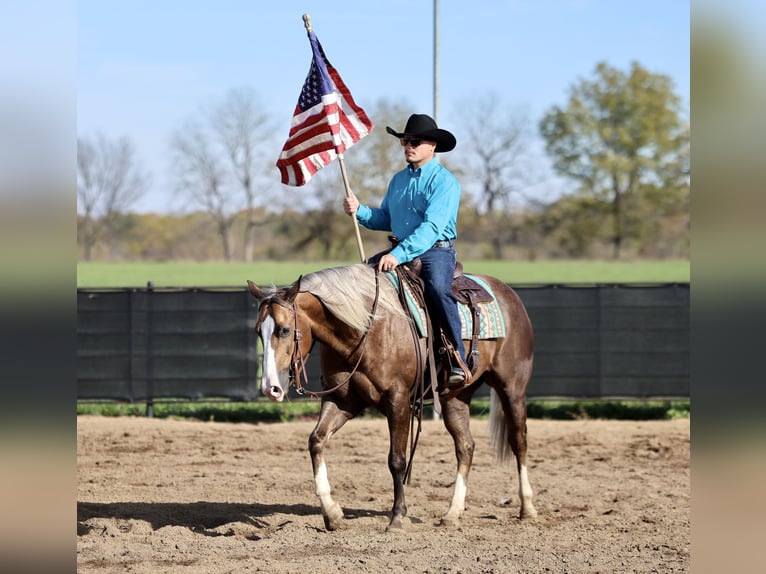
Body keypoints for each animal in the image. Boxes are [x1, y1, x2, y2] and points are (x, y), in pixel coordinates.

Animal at [247, 263, 537, 531]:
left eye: (284, 329)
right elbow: (316, 441)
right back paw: (453, 512)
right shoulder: (342, 400)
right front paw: (332, 514)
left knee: (519, 441)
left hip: (512, 388)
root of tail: (508, 294)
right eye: (259, 331)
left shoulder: (397, 400)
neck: (365, 328)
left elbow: (397, 460)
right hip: (455, 397)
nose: (270, 388)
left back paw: (527, 508)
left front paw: (397, 516)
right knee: (465, 447)